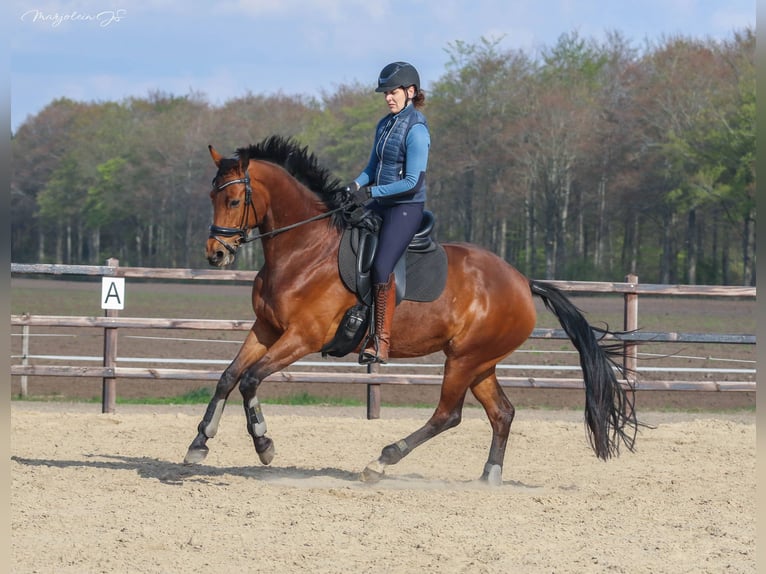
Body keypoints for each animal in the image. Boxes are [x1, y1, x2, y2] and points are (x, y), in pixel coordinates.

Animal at [183, 135, 640, 486]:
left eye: (234, 199)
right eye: (210, 195)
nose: (215, 253)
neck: (304, 250)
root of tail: (523, 282)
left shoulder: (303, 337)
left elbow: (251, 380)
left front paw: (264, 445)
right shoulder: (265, 328)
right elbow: (228, 377)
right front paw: (199, 444)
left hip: (463, 360)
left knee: (448, 415)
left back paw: (381, 461)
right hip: (480, 363)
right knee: (502, 413)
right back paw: (489, 476)